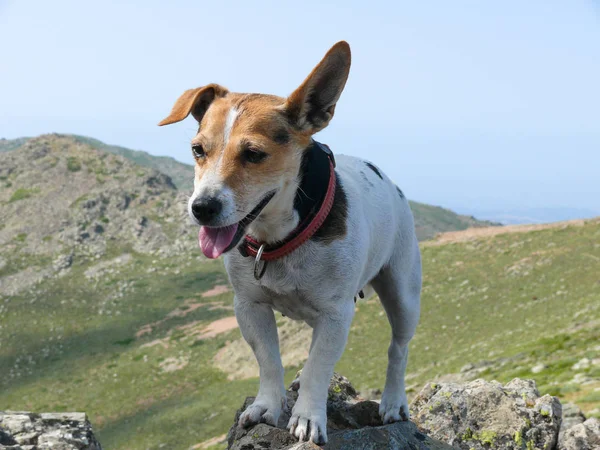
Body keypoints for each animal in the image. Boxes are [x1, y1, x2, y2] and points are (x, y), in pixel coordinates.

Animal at [159, 40, 422, 442]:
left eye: (254, 154)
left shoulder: (335, 315)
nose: (201, 207)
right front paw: (267, 405)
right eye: (197, 150)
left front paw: (308, 416)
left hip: (403, 293)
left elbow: (318, 367)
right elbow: (269, 360)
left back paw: (393, 401)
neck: (278, 238)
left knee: (399, 349)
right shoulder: (249, 306)